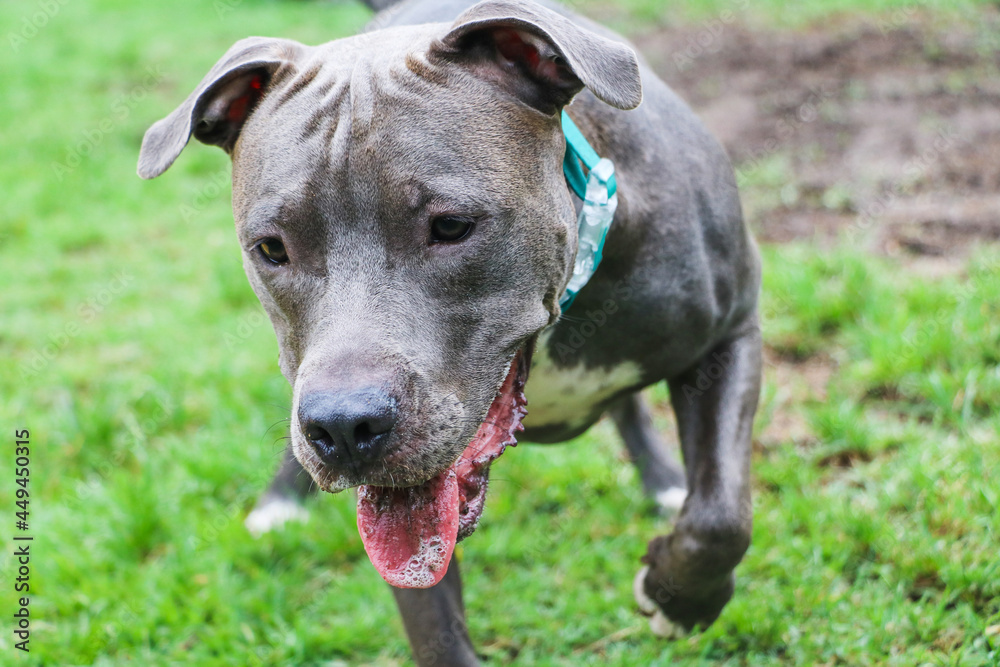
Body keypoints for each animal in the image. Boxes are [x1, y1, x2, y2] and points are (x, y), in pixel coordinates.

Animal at [139, 0, 756, 664]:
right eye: (271, 249)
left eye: (452, 226)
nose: (344, 427)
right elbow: (434, 627)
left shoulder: (731, 331)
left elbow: (721, 516)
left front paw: (679, 600)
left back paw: (663, 481)